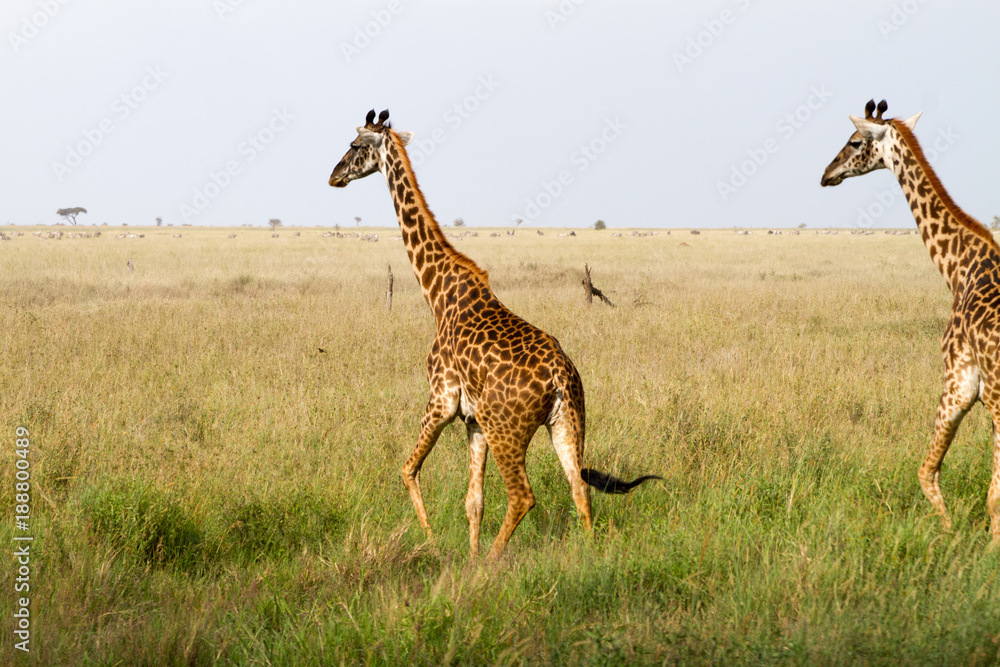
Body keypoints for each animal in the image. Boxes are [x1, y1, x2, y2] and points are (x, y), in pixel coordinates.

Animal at [329, 109, 660, 559]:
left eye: (355, 145)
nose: (334, 176)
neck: (437, 292)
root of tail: (561, 378)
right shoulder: (473, 421)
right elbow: (474, 502)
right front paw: (465, 560)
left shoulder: (441, 399)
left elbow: (408, 469)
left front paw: (434, 544)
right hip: (567, 422)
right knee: (579, 489)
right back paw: (587, 557)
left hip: (507, 429)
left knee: (523, 495)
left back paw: (491, 563)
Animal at [822, 99, 1000, 543]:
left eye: (855, 141)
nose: (826, 174)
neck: (959, 267)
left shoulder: (960, 383)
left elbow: (928, 473)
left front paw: (952, 534)